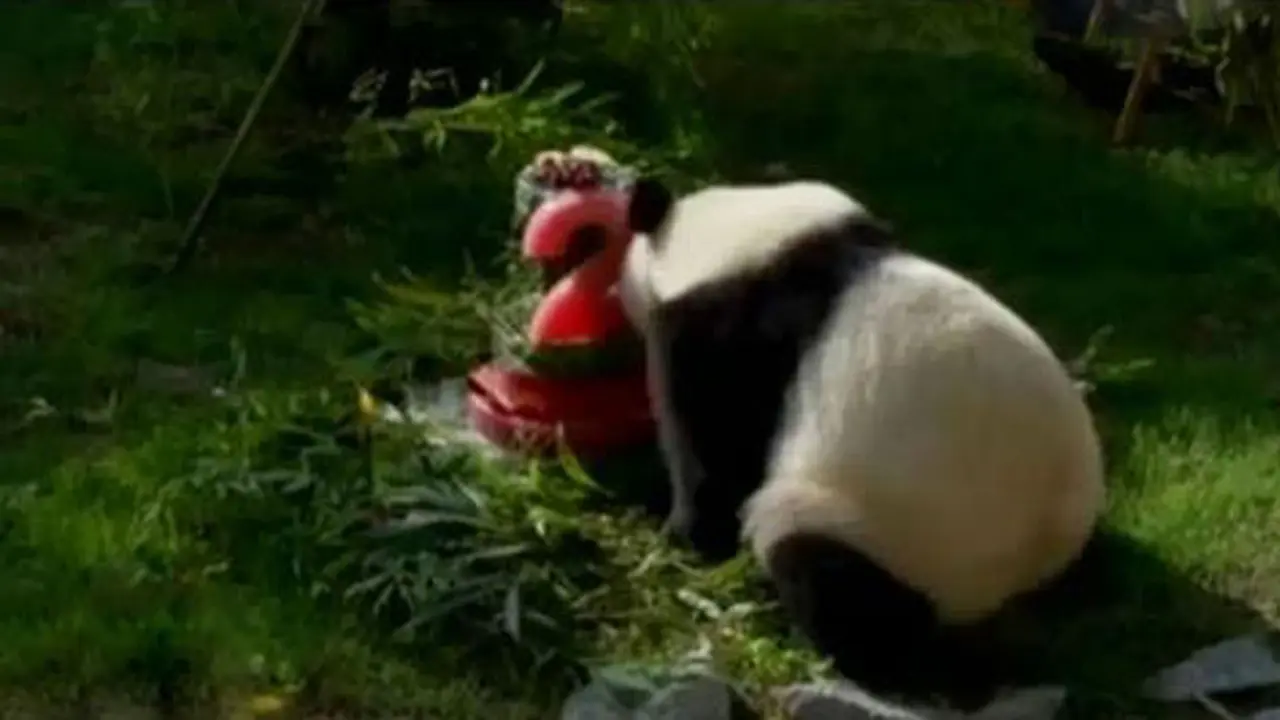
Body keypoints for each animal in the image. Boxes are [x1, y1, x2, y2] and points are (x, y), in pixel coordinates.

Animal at [616, 176, 1107, 708]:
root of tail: (1019, 593)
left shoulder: (737, 330)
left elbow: (718, 443)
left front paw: (681, 533)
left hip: (898, 537)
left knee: (832, 578)